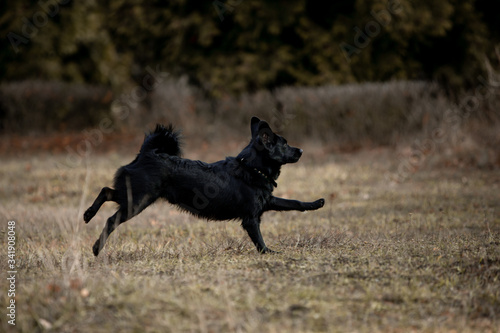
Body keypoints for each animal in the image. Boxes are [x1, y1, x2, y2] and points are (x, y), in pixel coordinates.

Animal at [84, 116, 326, 254]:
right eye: (284, 144)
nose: (301, 150)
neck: (251, 168)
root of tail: (148, 153)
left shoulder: (267, 201)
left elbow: (294, 202)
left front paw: (316, 203)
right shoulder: (251, 219)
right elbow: (259, 240)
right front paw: (269, 253)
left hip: (135, 195)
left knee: (106, 191)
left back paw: (88, 214)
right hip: (139, 200)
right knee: (111, 219)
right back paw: (96, 247)